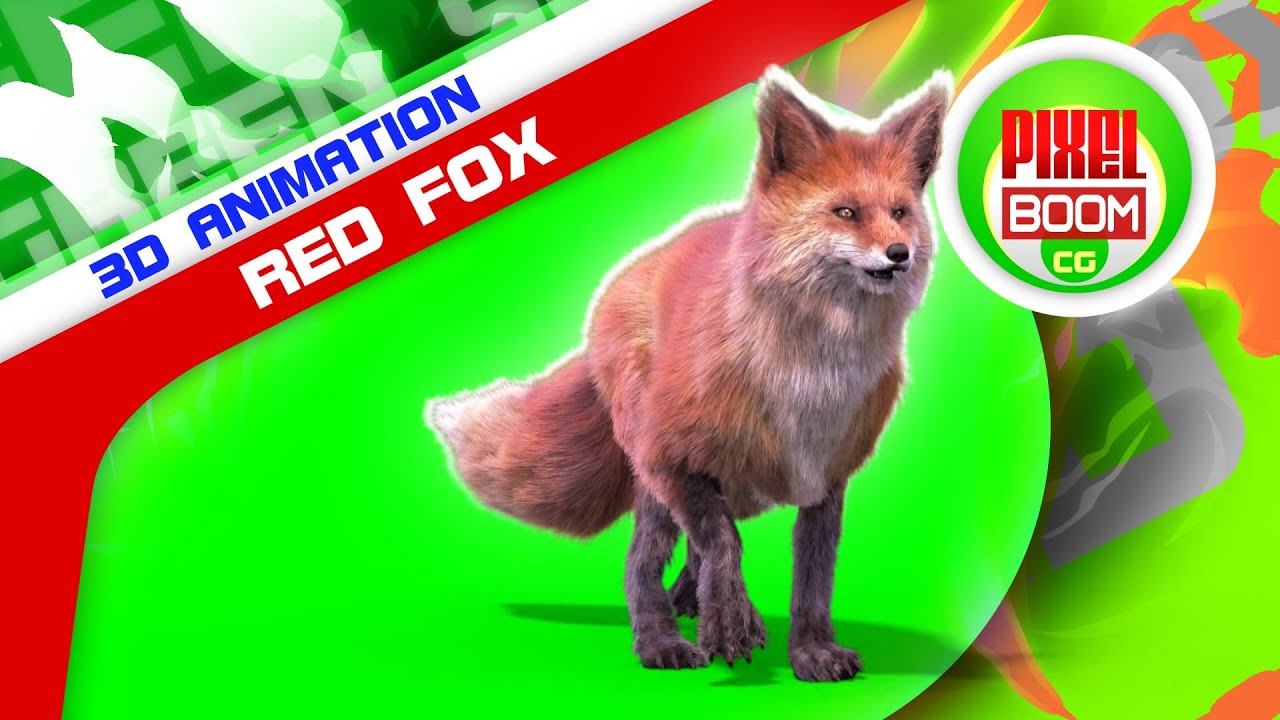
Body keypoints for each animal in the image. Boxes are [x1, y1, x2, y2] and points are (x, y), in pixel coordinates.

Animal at [429, 66, 950, 682]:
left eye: (900, 213)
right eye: (845, 212)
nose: (899, 254)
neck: (810, 381)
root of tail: (611, 292)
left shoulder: (826, 478)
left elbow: (812, 582)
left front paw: (810, 650)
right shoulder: (672, 459)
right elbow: (725, 544)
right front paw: (730, 625)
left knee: (692, 554)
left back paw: (694, 605)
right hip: (657, 483)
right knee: (643, 565)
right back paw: (663, 639)